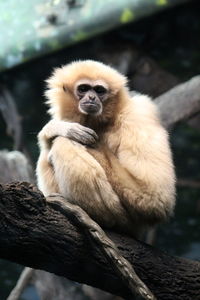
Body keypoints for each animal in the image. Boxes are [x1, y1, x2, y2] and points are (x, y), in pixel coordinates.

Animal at [36, 59, 176, 238]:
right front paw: (57, 127)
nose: (91, 97)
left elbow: (154, 197)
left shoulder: (139, 114)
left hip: (122, 218)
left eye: (99, 90)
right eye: (83, 88)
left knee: (63, 143)